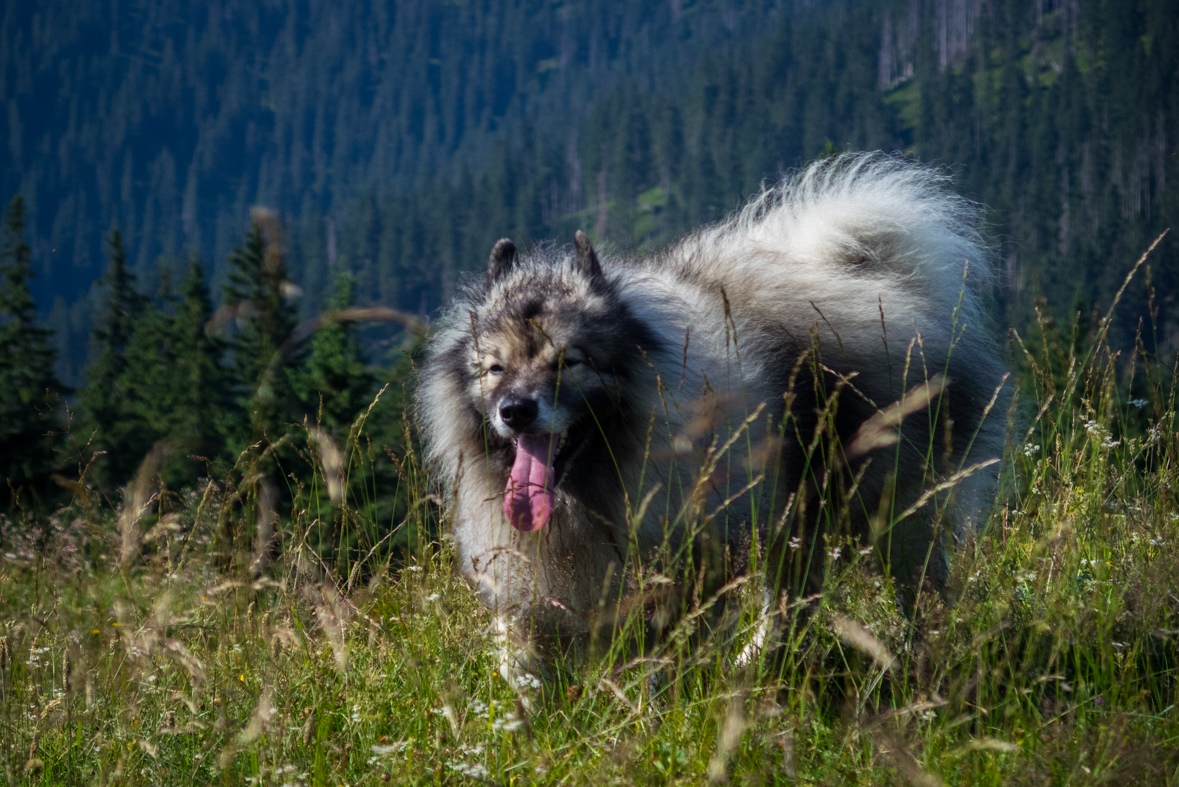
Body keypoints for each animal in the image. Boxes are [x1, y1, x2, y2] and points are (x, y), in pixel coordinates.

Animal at [415, 155, 1004, 678]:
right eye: (495, 368)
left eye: (569, 361)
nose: (515, 411)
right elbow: (521, 667)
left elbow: (657, 659)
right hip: (795, 515)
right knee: (795, 599)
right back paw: (760, 662)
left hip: (892, 509)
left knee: (917, 592)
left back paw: (920, 662)